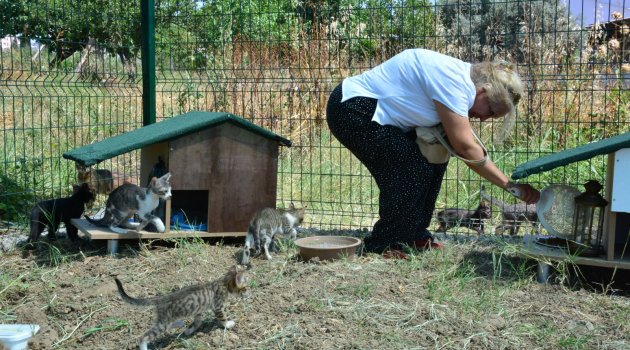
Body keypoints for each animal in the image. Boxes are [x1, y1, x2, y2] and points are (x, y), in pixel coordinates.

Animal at [115, 266, 248, 350]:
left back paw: (180, 324)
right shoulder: (218, 307)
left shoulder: (199, 311)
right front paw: (228, 324)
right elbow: (223, 318)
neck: (223, 283)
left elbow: (197, 323)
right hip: (163, 323)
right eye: (245, 288)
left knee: (170, 325)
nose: (249, 293)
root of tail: (160, 298)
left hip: (165, 320)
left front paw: (189, 331)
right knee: (143, 337)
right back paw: (143, 346)